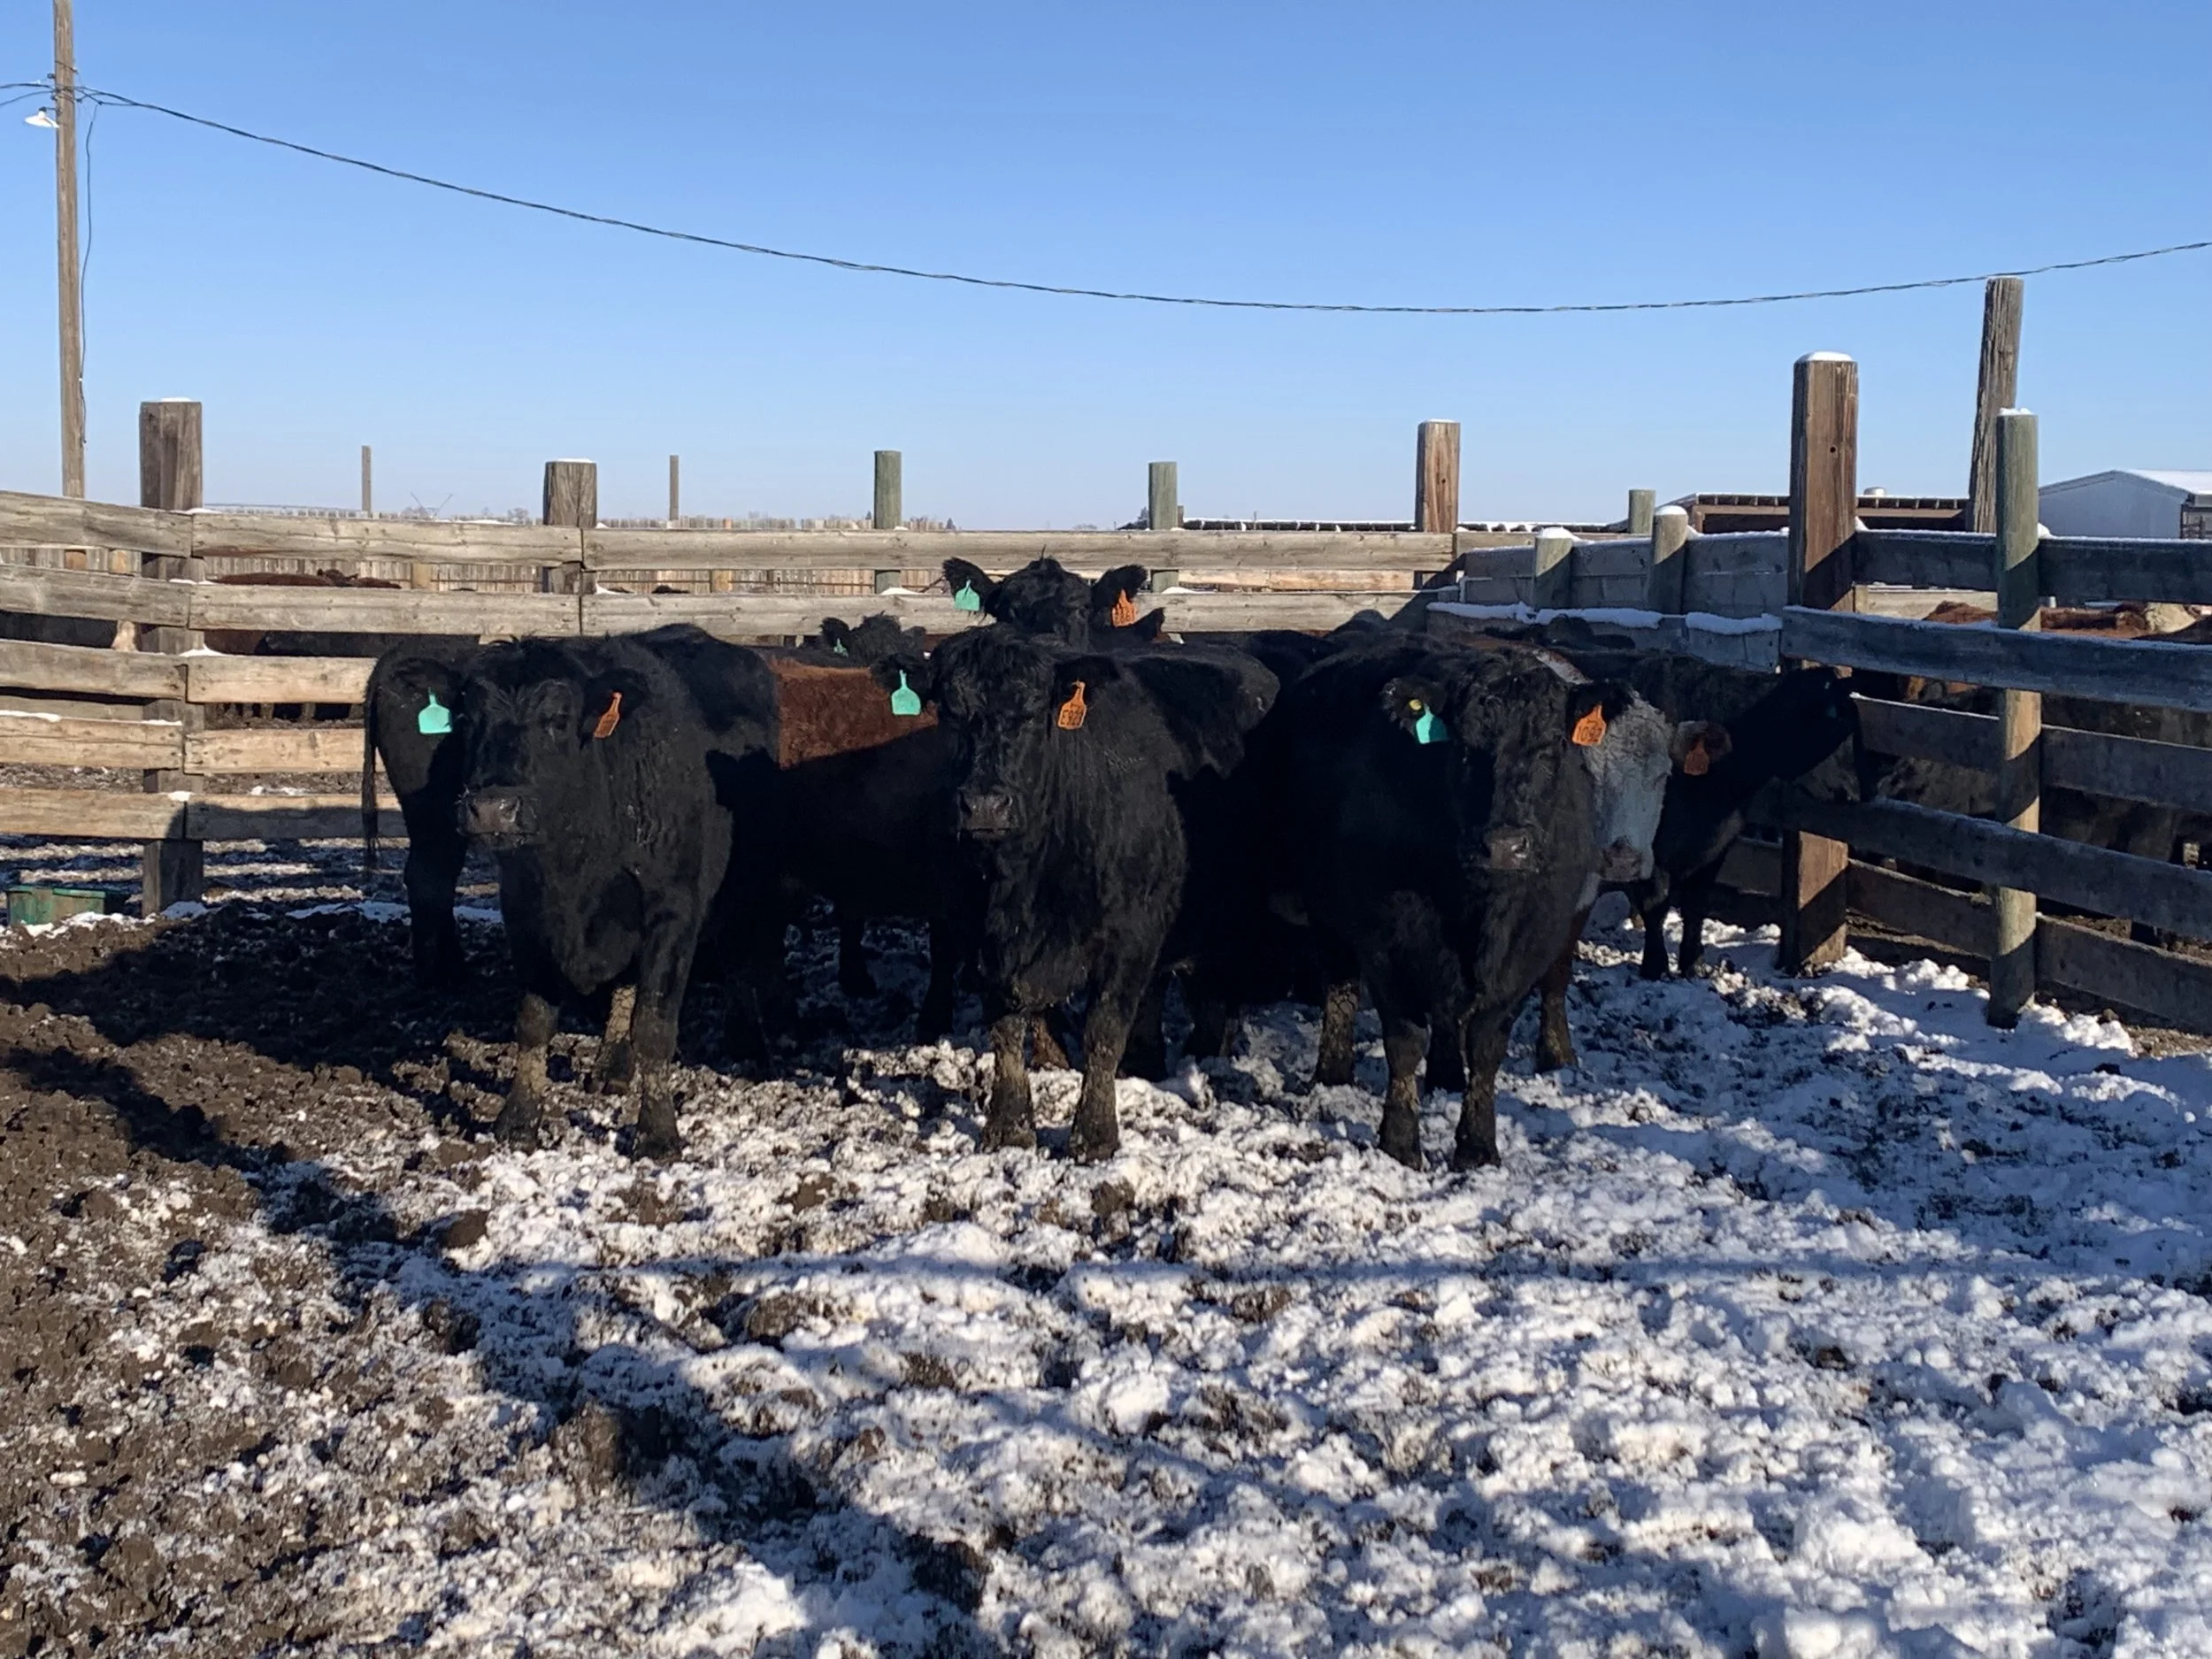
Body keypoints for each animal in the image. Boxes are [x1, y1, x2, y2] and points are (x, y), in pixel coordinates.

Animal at [455, 626, 780, 1157]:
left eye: (557, 720)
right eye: (466, 719)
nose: (492, 809)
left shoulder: (673, 911)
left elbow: (654, 1025)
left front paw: (658, 1131)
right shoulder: (523, 912)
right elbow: (534, 1022)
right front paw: (518, 1119)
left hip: (748, 884)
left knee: (740, 958)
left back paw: (749, 1044)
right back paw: (612, 1064)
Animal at [881, 626, 1275, 1160]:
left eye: (1032, 713)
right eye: (951, 713)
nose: (984, 805)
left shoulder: (1131, 937)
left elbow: (1103, 1033)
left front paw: (1094, 1135)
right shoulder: (980, 938)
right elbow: (1006, 1032)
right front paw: (1008, 1128)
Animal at [1255, 639, 1620, 1169]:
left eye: (1552, 746)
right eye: (1464, 748)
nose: (1505, 845)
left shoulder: (1525, 954)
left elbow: (1487, 1047)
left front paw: (1478, 1145)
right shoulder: (1387, 943)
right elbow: (1405, 1041)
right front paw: (1400, 1142)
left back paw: (1446, 1075)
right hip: (1328, 912)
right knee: (1342, 987)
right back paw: (1334, 1070)